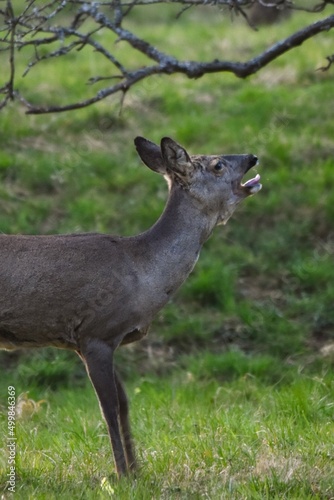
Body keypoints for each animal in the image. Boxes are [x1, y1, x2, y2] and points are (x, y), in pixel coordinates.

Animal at [0, 137, 260, 476]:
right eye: (217, 164)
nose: (253, 157)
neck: (142, 273)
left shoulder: (112, 338)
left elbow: (124, 403)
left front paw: (137, 472)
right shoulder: (94, 334)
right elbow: (108, 407)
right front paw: (121, 474)